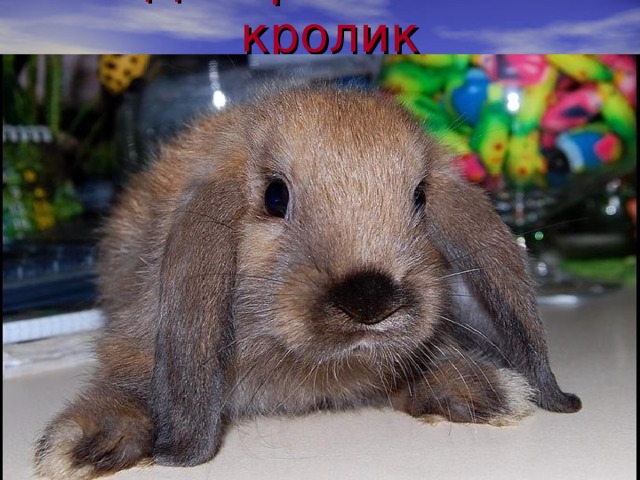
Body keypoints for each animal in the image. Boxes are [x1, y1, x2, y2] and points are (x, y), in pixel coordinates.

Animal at [34, 86, 581, 480]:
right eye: (275, 197)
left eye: (420, 198)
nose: (370, 297)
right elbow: (126, 386)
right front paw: (88, 444)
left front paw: (480, 390)